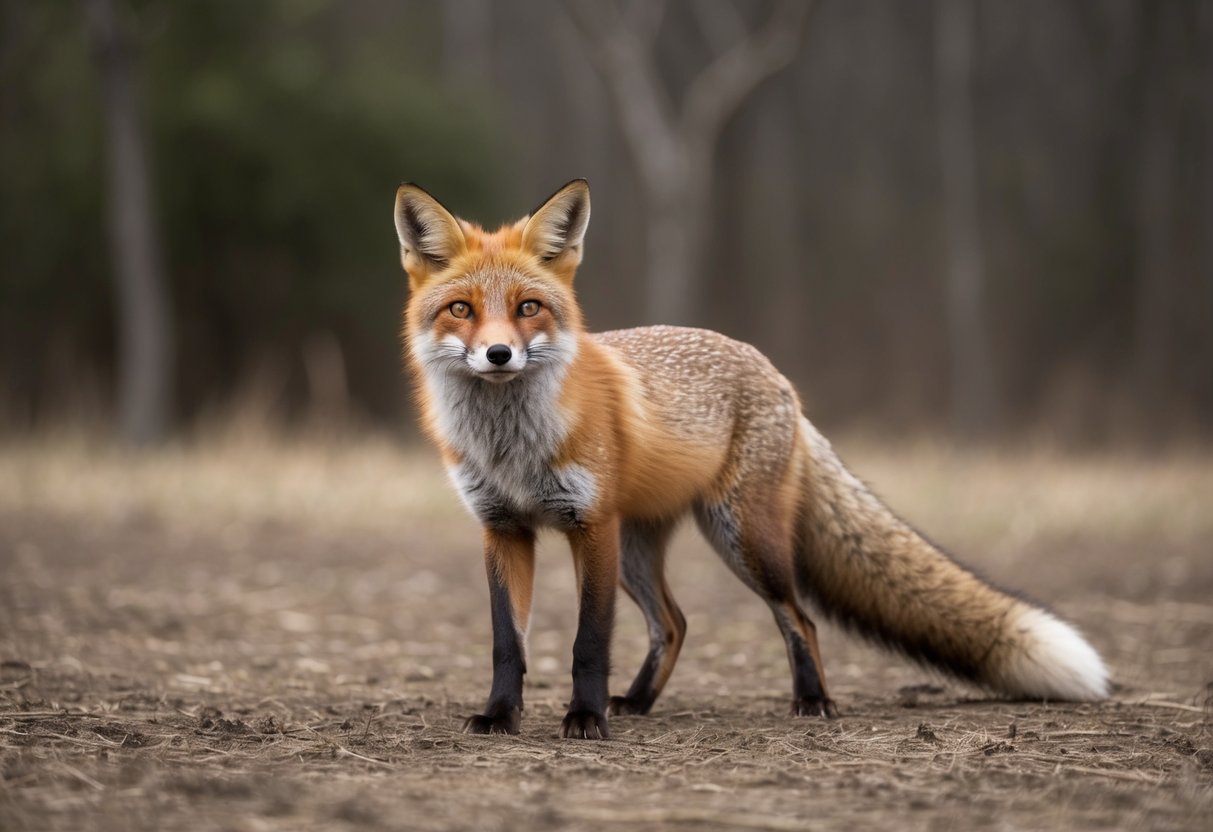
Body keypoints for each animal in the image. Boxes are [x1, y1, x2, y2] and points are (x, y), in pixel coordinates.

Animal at [393, 178, 1109, 740]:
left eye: (528, 307)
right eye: (461, 309)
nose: (499, 355)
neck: (511, 446)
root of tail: (774, 372)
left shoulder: (589, 527)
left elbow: (588, 642)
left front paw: (586, 719)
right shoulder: (503, 529)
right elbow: (506, 644)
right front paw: (500, 716)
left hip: (742, 540)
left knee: (801, 619)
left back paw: (812, 701)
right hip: (639, 550)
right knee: (675, 623)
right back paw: (639, 703)